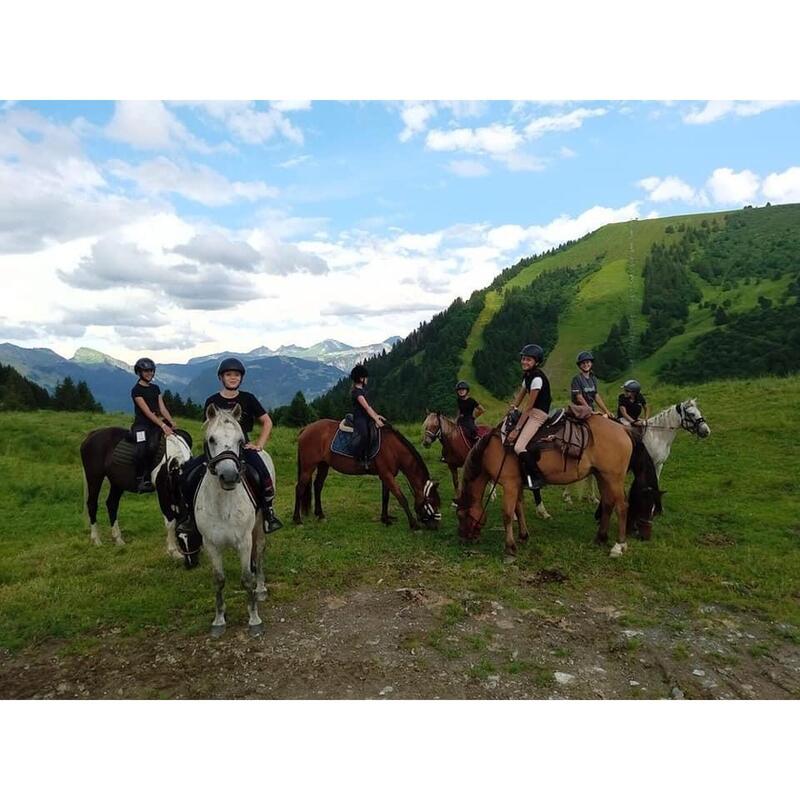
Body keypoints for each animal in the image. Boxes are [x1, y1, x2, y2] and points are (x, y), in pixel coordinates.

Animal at [79, 424, 192, 556]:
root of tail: (92, 435)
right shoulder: (163, 492)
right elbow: (171, 520)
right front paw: (174, 551)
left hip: (117, 482)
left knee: (112, 504)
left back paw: (118, 540)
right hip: (94, 477)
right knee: (92, 504)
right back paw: (96, 540)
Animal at [296, 418, 444, 532]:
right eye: (432, 502)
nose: (436, 526)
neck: (393, 449)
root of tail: (306, 429)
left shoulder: (386, 475)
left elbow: (385, 497)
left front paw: (385, 519)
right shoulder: (387, 475)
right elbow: (401, 498)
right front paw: (413, 524)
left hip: (323, 465)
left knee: (318, 486)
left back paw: (320, 515)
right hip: (308, 467)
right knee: (300, 488)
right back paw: (297, 520)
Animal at [418, 412, 552, 520]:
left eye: (435, 425)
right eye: (426, 425)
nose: (426, 443)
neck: (453, 441)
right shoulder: (452, 465)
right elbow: (456, 482)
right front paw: (455, 502)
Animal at [456, 416, 664, 560]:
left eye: (461, 516)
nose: (464, 538)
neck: (493, 448)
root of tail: (623, 429)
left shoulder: (508, 484)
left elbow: (508, 514)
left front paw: (510, 548)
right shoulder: (516, 484)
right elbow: (519, 508)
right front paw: (523, 536)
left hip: (613, 478)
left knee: (621, 507)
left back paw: (618, 546)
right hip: (602, 476)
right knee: (607, 503)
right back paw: (600, 538)